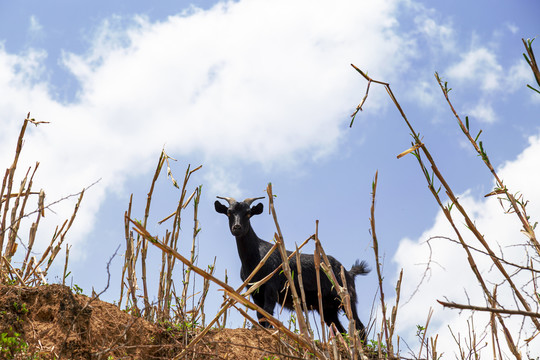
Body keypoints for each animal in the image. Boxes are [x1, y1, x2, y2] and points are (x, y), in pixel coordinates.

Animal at [215, 197, 372, 340]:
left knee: (359, 326)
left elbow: (267, 312)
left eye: (248, 213)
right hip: (328, 308)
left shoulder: (271, 287)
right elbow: (260, 314)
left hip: (345, 298)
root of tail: (349, 272)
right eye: (229, 212)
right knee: (342, 330)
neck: (256, 257)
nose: (237, 227)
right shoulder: (254, 290)